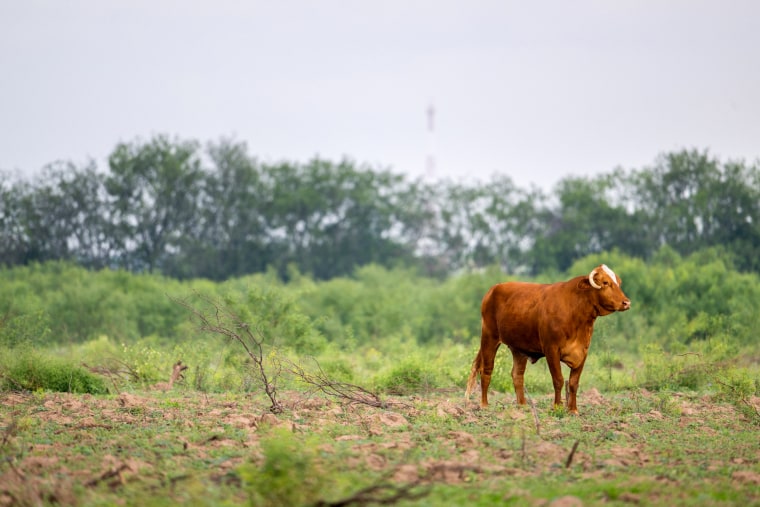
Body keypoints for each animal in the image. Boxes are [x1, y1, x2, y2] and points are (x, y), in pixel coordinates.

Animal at [465, 264, 631, 414]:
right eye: (605, 282)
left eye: (618, 282)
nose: (626, 302)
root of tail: (495, 288)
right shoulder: (551, 349)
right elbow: (558, 380)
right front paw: (557, 407)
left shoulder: (583, 351)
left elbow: (573, 382)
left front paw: (573, 410)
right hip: (489, 337)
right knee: (486, 370)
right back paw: (484, 405)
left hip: (518, 348)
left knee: (517, 374)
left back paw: (523, 406)